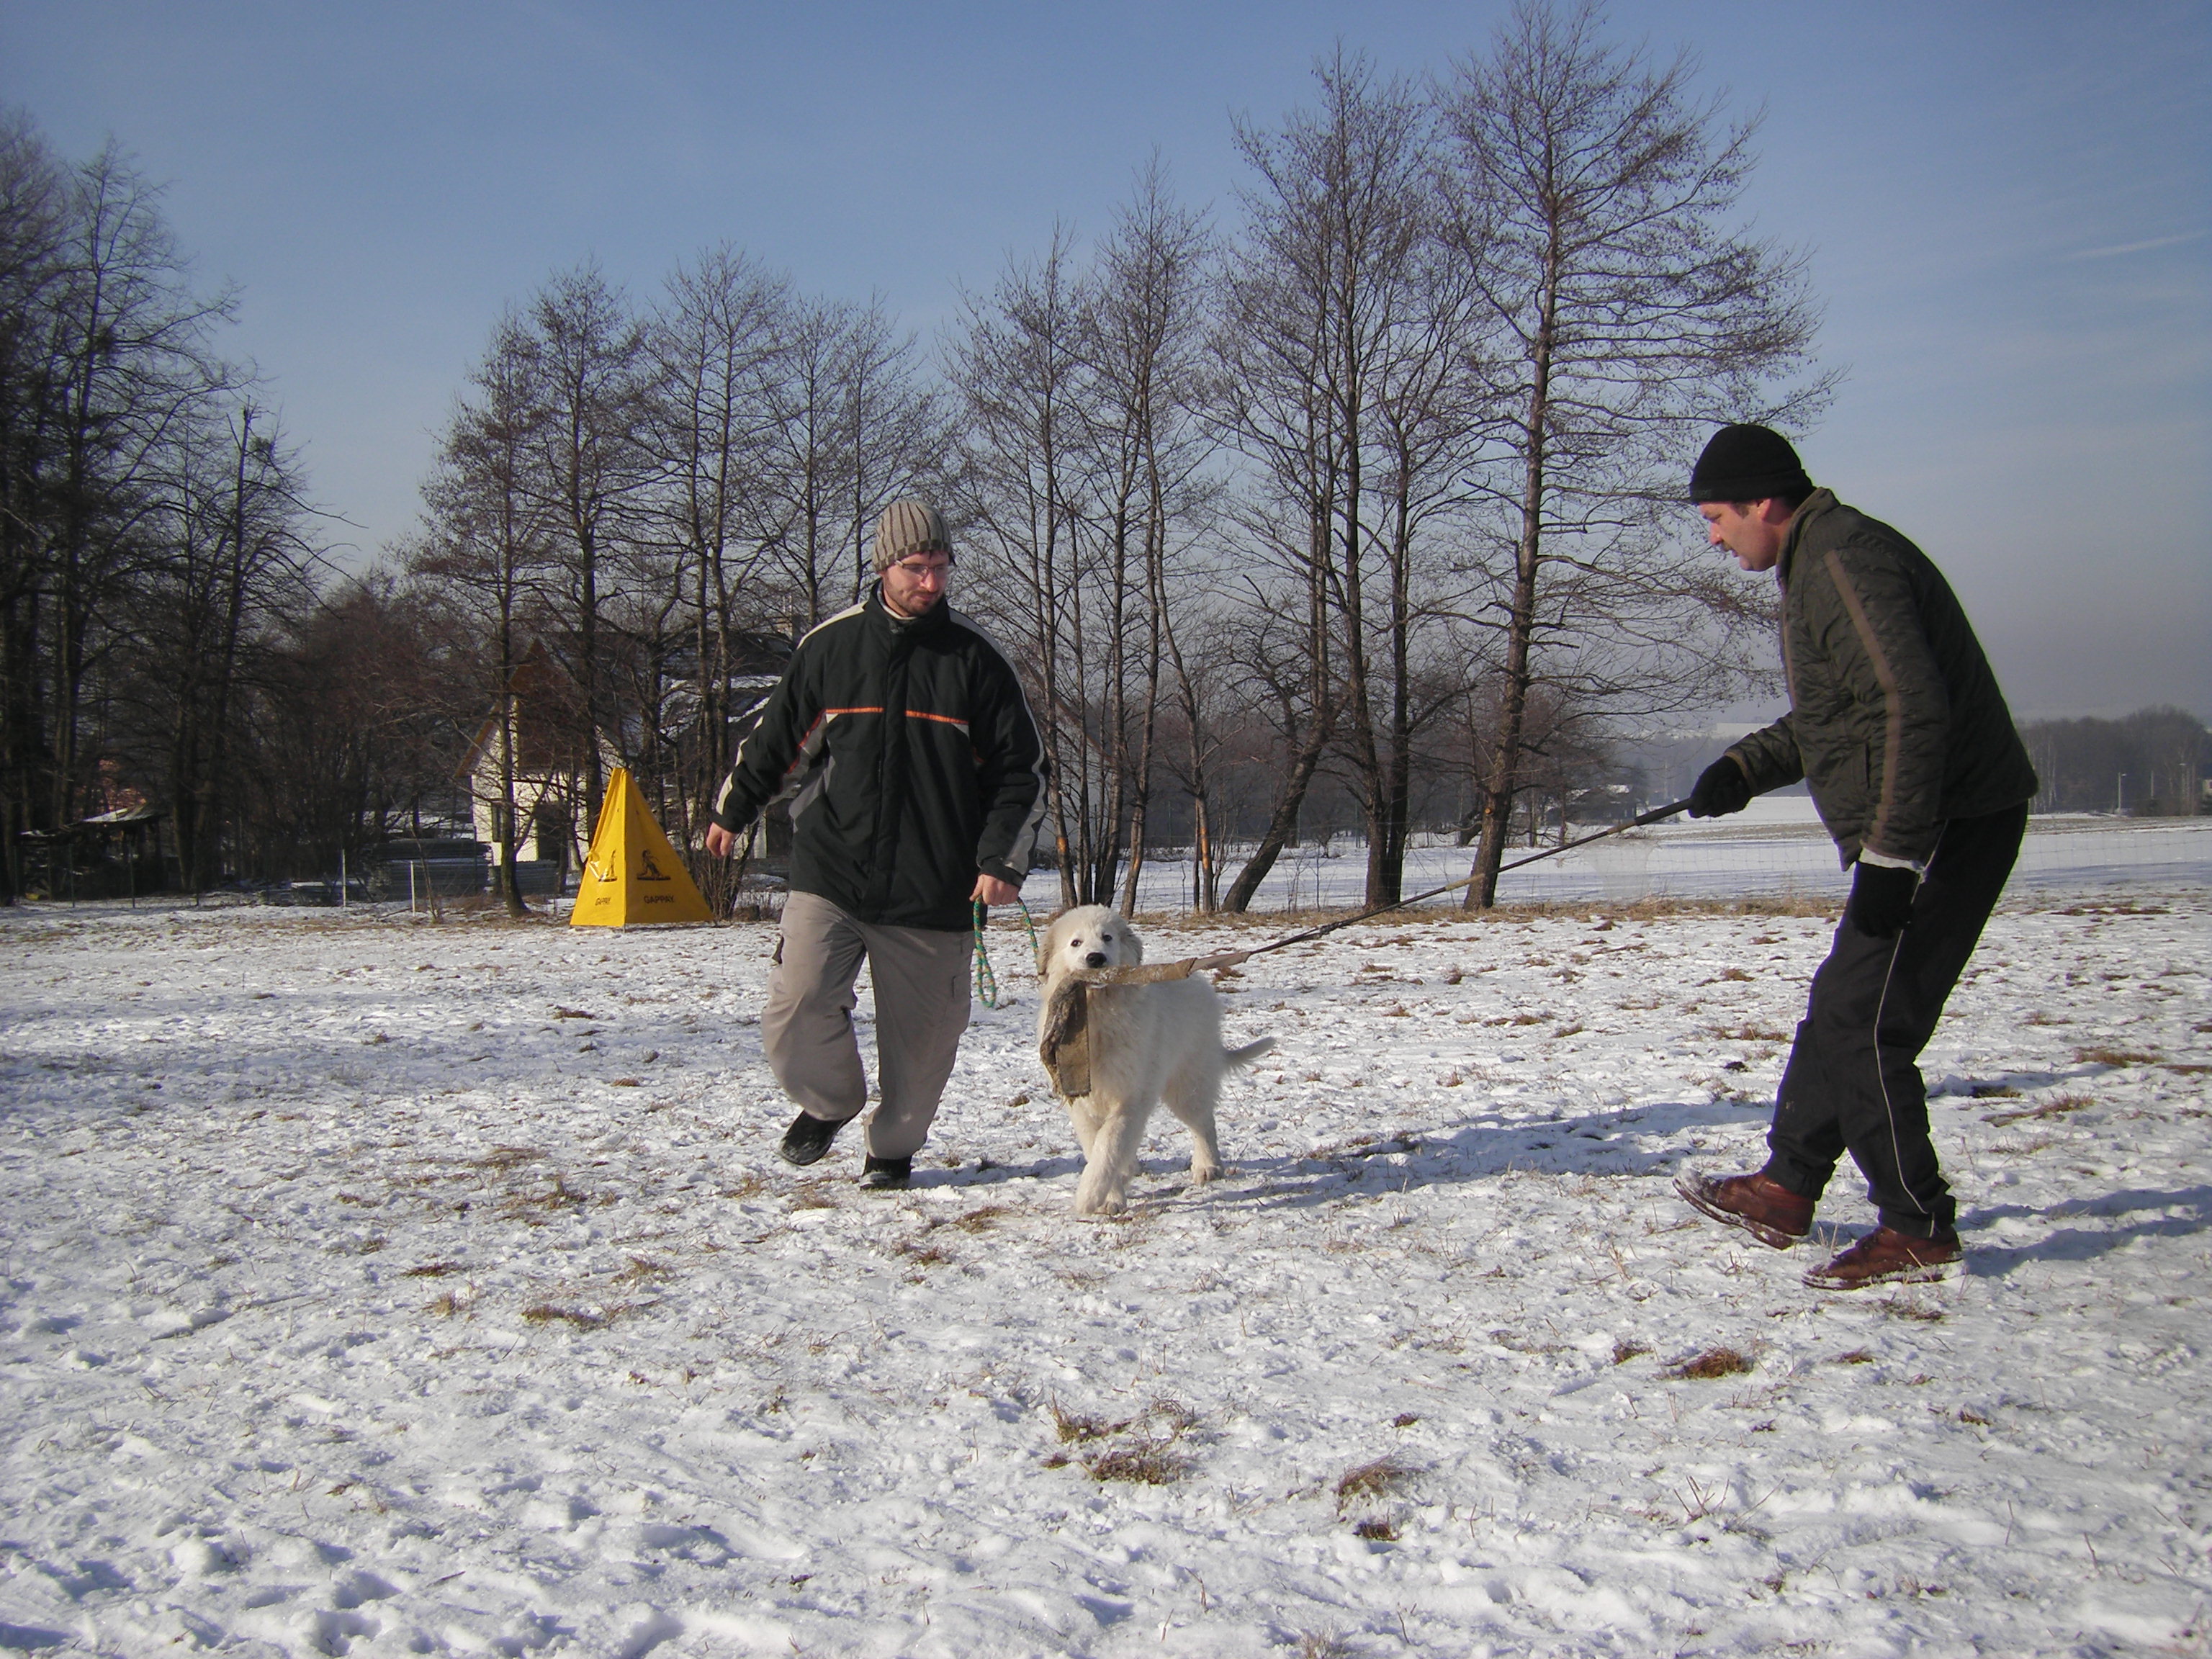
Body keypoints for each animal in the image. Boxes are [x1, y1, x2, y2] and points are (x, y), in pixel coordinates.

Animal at [1030, 911, 1274, 1220]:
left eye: (1107, 937)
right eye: (1076, 943)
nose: (1095, 959)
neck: (1098, 1014)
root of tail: (1197, 979)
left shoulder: (1130, 1097)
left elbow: (1108, 1147)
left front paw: (1092, 1195)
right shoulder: (1083, 1105)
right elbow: (1097, 1145)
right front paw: (1110, 1194)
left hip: (1187, 1083)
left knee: (1203, 1123)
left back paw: (1208, 1166)